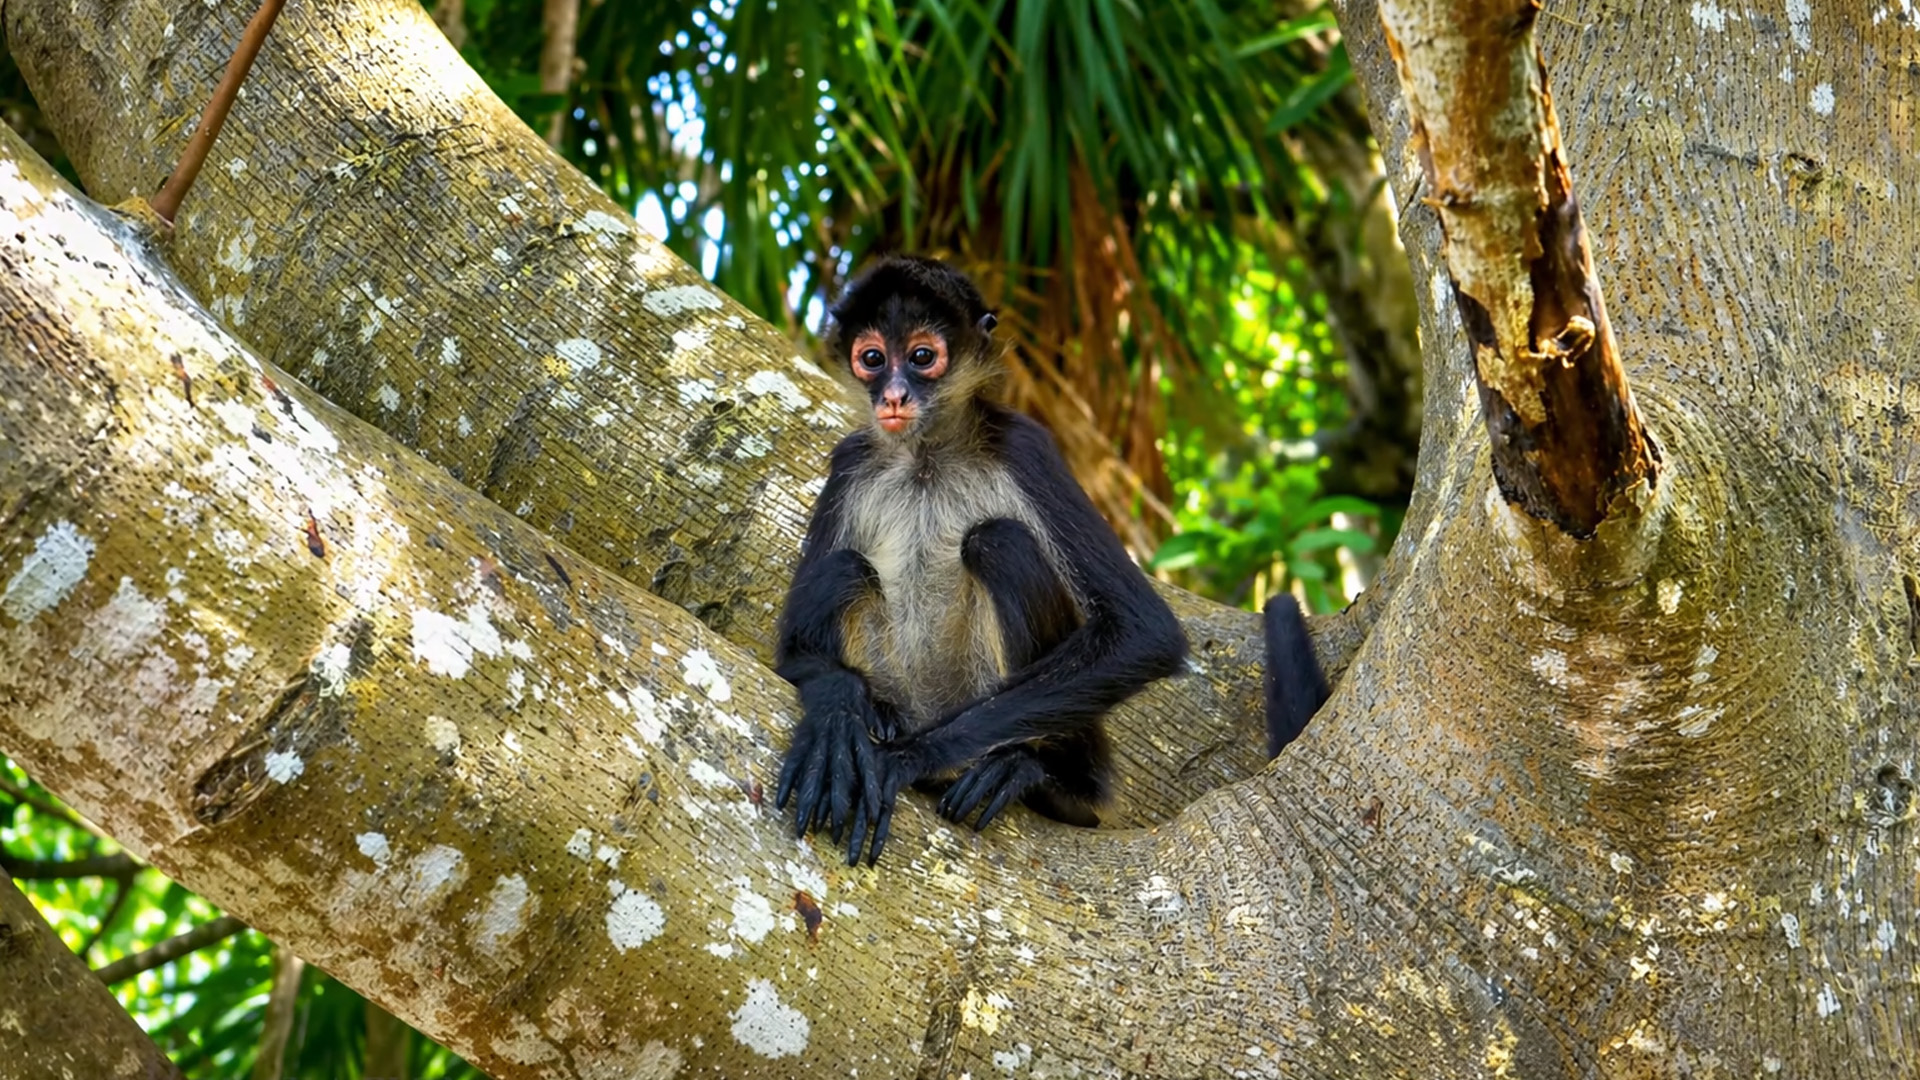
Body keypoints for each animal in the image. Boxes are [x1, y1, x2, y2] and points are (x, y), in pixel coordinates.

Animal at [771, 255, 1191, 864]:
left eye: (922, 357)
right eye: (872, 359)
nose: (892, 395)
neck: (926, 457)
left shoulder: (1024, 444)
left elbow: (1146, 633)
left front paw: (913, 757)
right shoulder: (850, 460)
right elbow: (789, 653)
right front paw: (837, 713)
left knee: (999, 542)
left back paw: (1039, 776)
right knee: (843, 567)